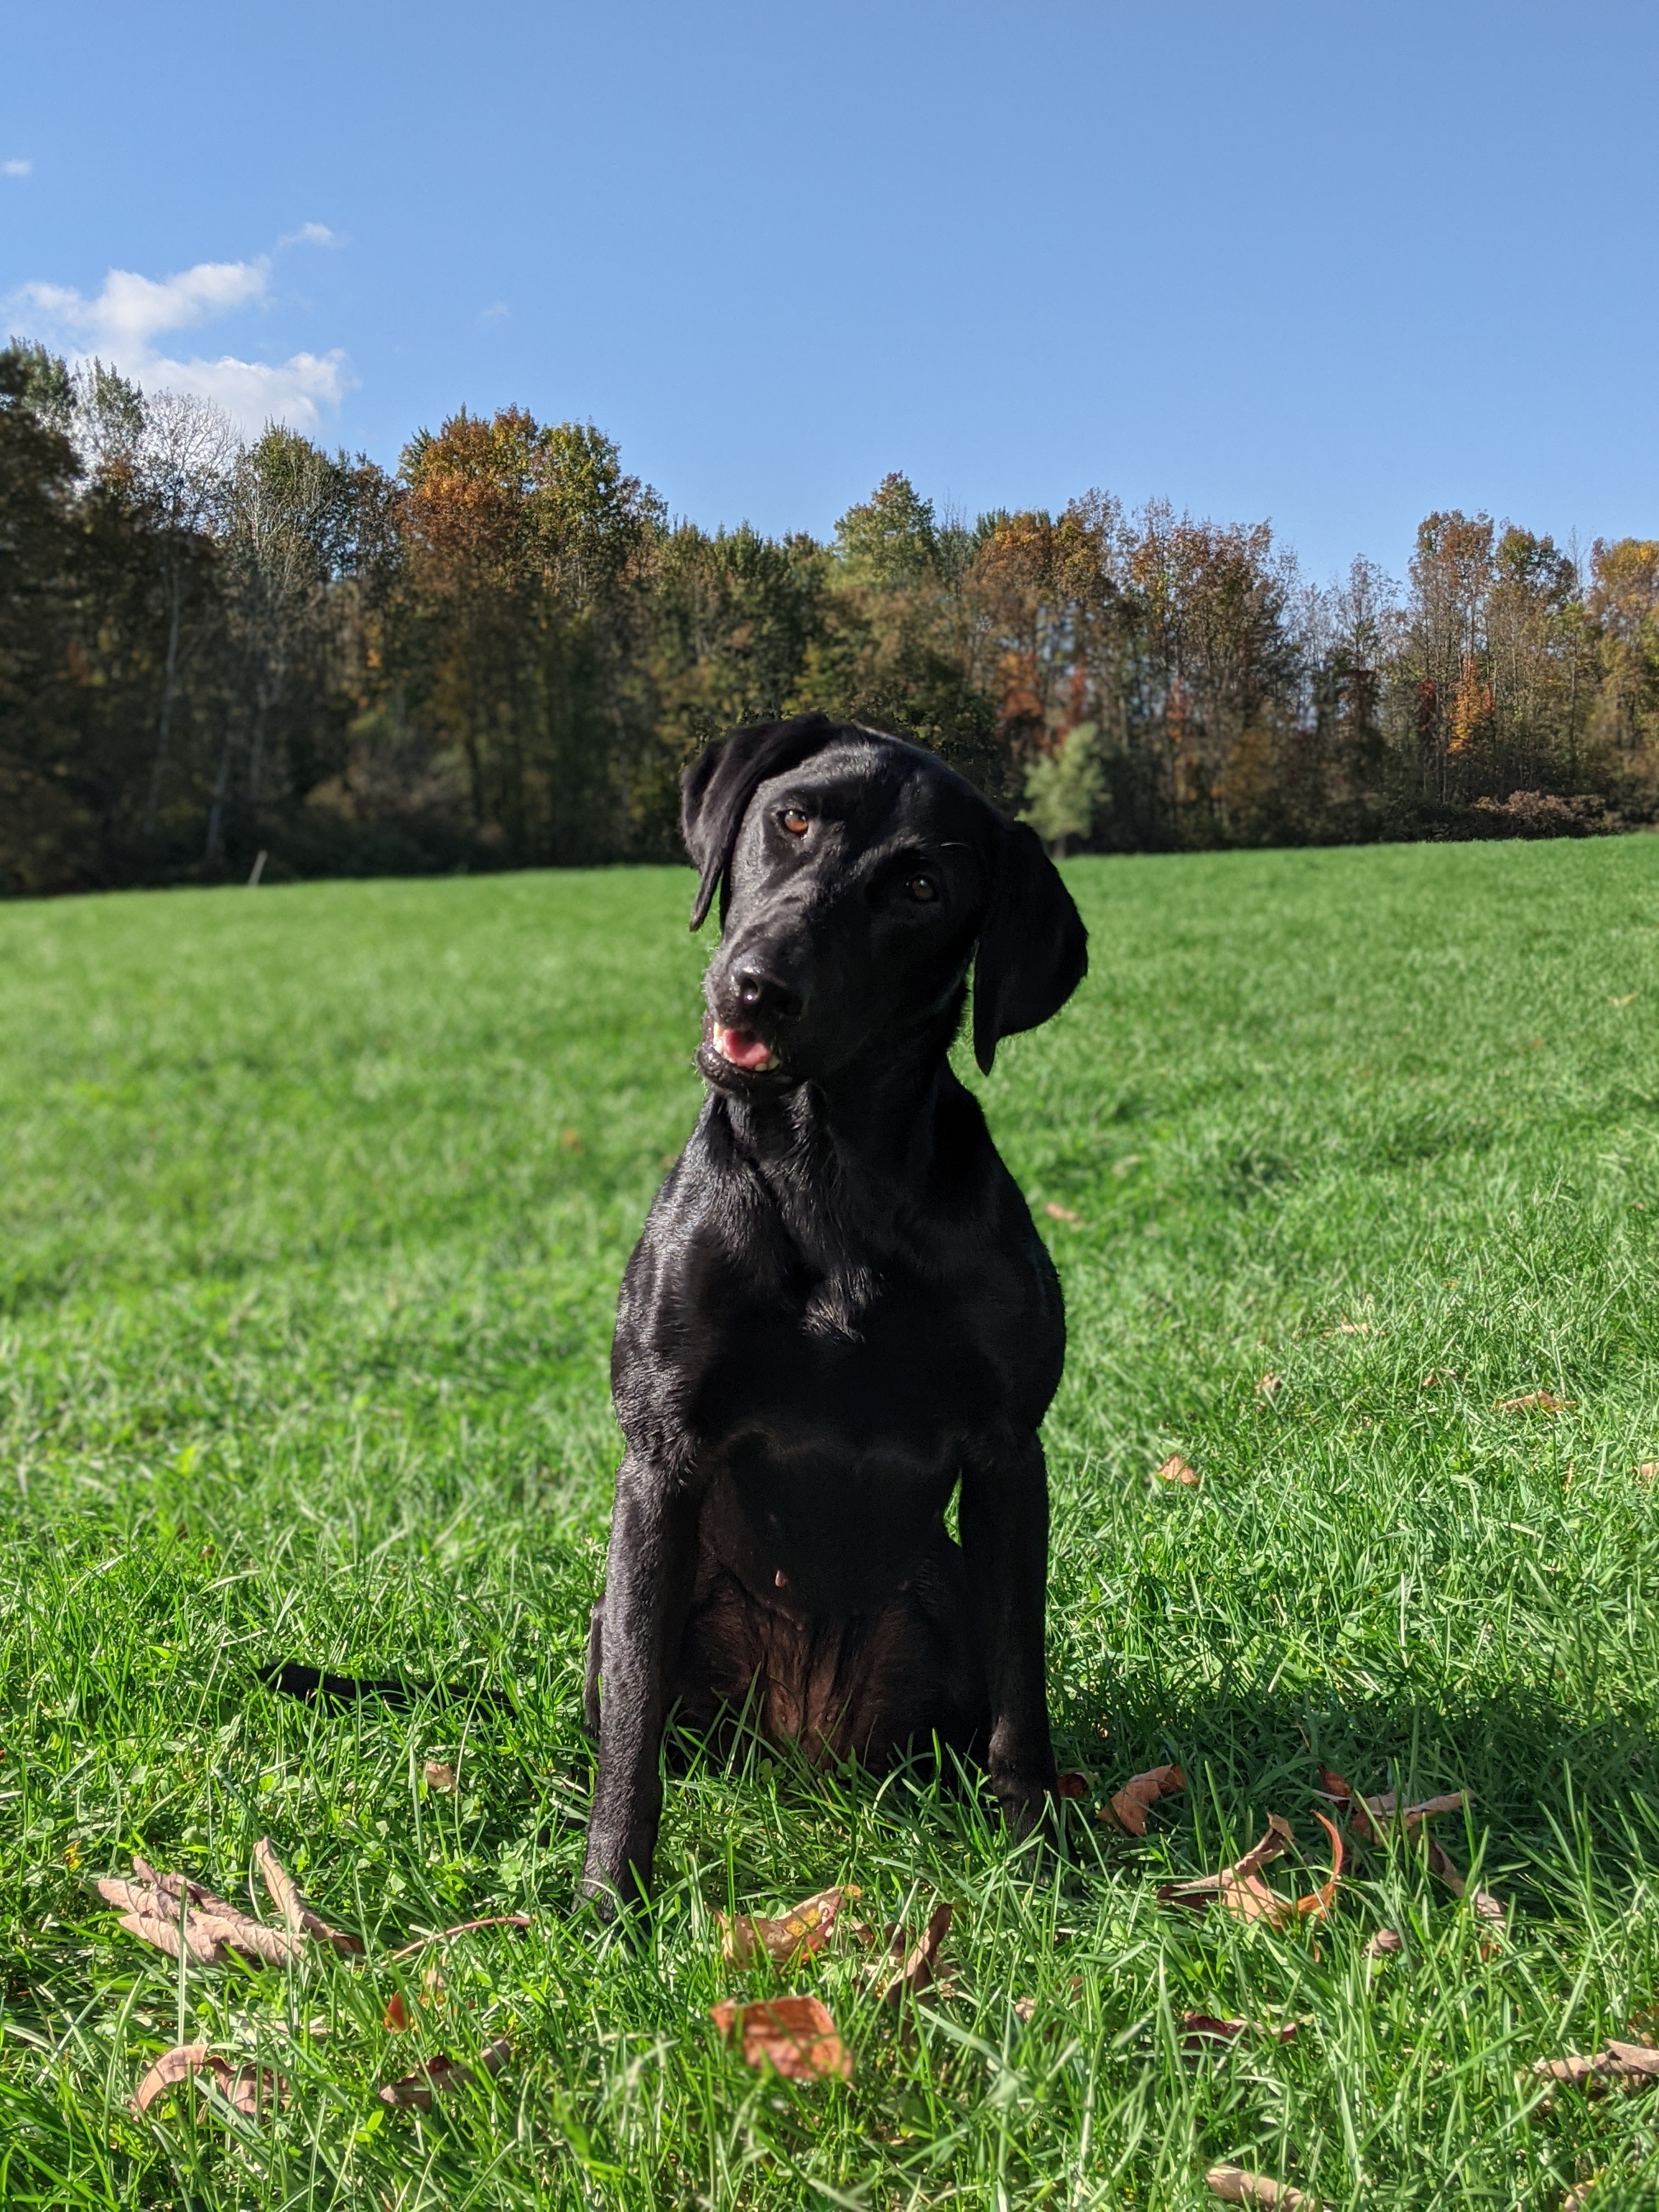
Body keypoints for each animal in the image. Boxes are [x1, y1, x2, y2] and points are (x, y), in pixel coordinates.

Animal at [579, 716, 1092, 1911]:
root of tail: (805, 1747)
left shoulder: (1009, 1457)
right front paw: (609, 1904)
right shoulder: (661, 1454)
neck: (830, 1167)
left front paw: (1040, 1871)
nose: (761, 986)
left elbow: (1022, 1701)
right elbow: (631, 1726)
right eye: (793, 817)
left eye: (919, 885)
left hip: (941, 1592)